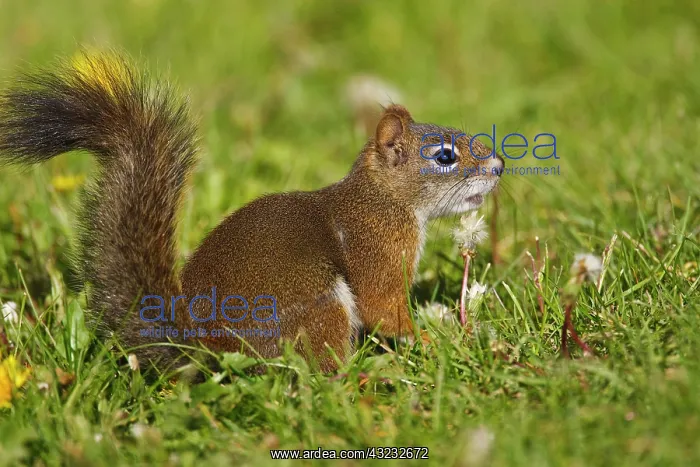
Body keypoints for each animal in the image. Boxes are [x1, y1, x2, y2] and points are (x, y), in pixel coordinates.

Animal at [0, 53, 504, 373]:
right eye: (444, 156)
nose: (499, 167)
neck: (382, 199)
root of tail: (204, 347)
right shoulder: (376, 249)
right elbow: (384, 308)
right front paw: (436, 343)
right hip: (319, 308)